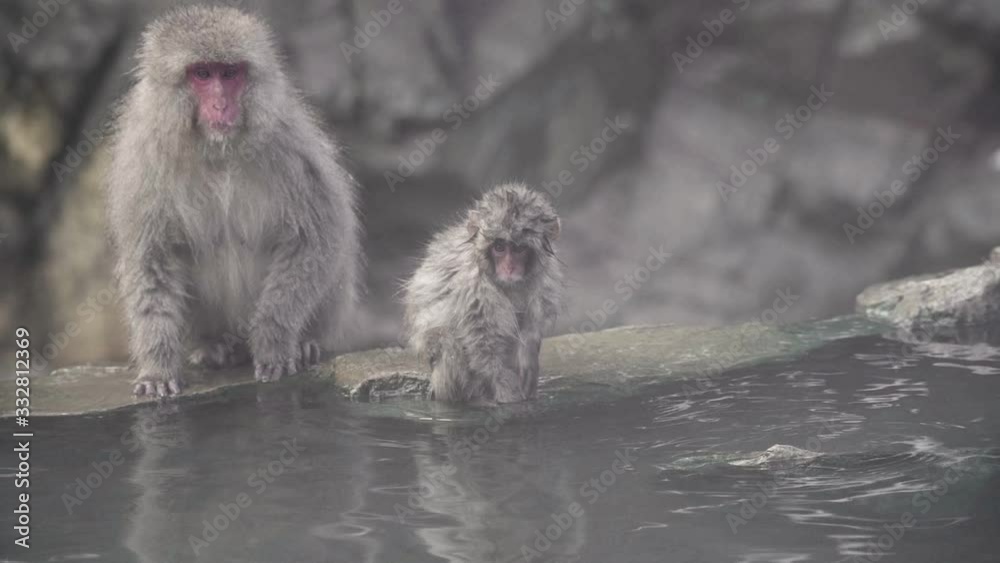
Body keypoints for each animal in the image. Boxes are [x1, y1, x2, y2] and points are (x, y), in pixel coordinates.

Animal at [106, 6, 362, 397]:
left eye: (229, 74)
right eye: (202, 73)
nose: (221, 104)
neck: (218, 151)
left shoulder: (290, 145)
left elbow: (314, 237)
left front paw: (273, 341)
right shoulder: (144, 160)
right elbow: (152, 259)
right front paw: (158, 366)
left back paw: (302, 342)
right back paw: (214, 346)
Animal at [403, 183, 564, 404]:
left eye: (519, 249)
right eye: (499, 246)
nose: (509, 268)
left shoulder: (542, 281)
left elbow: (530, 329)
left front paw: (528, 363)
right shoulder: (473, 285)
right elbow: (482, 340)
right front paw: (507, 392)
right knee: (447, 344)